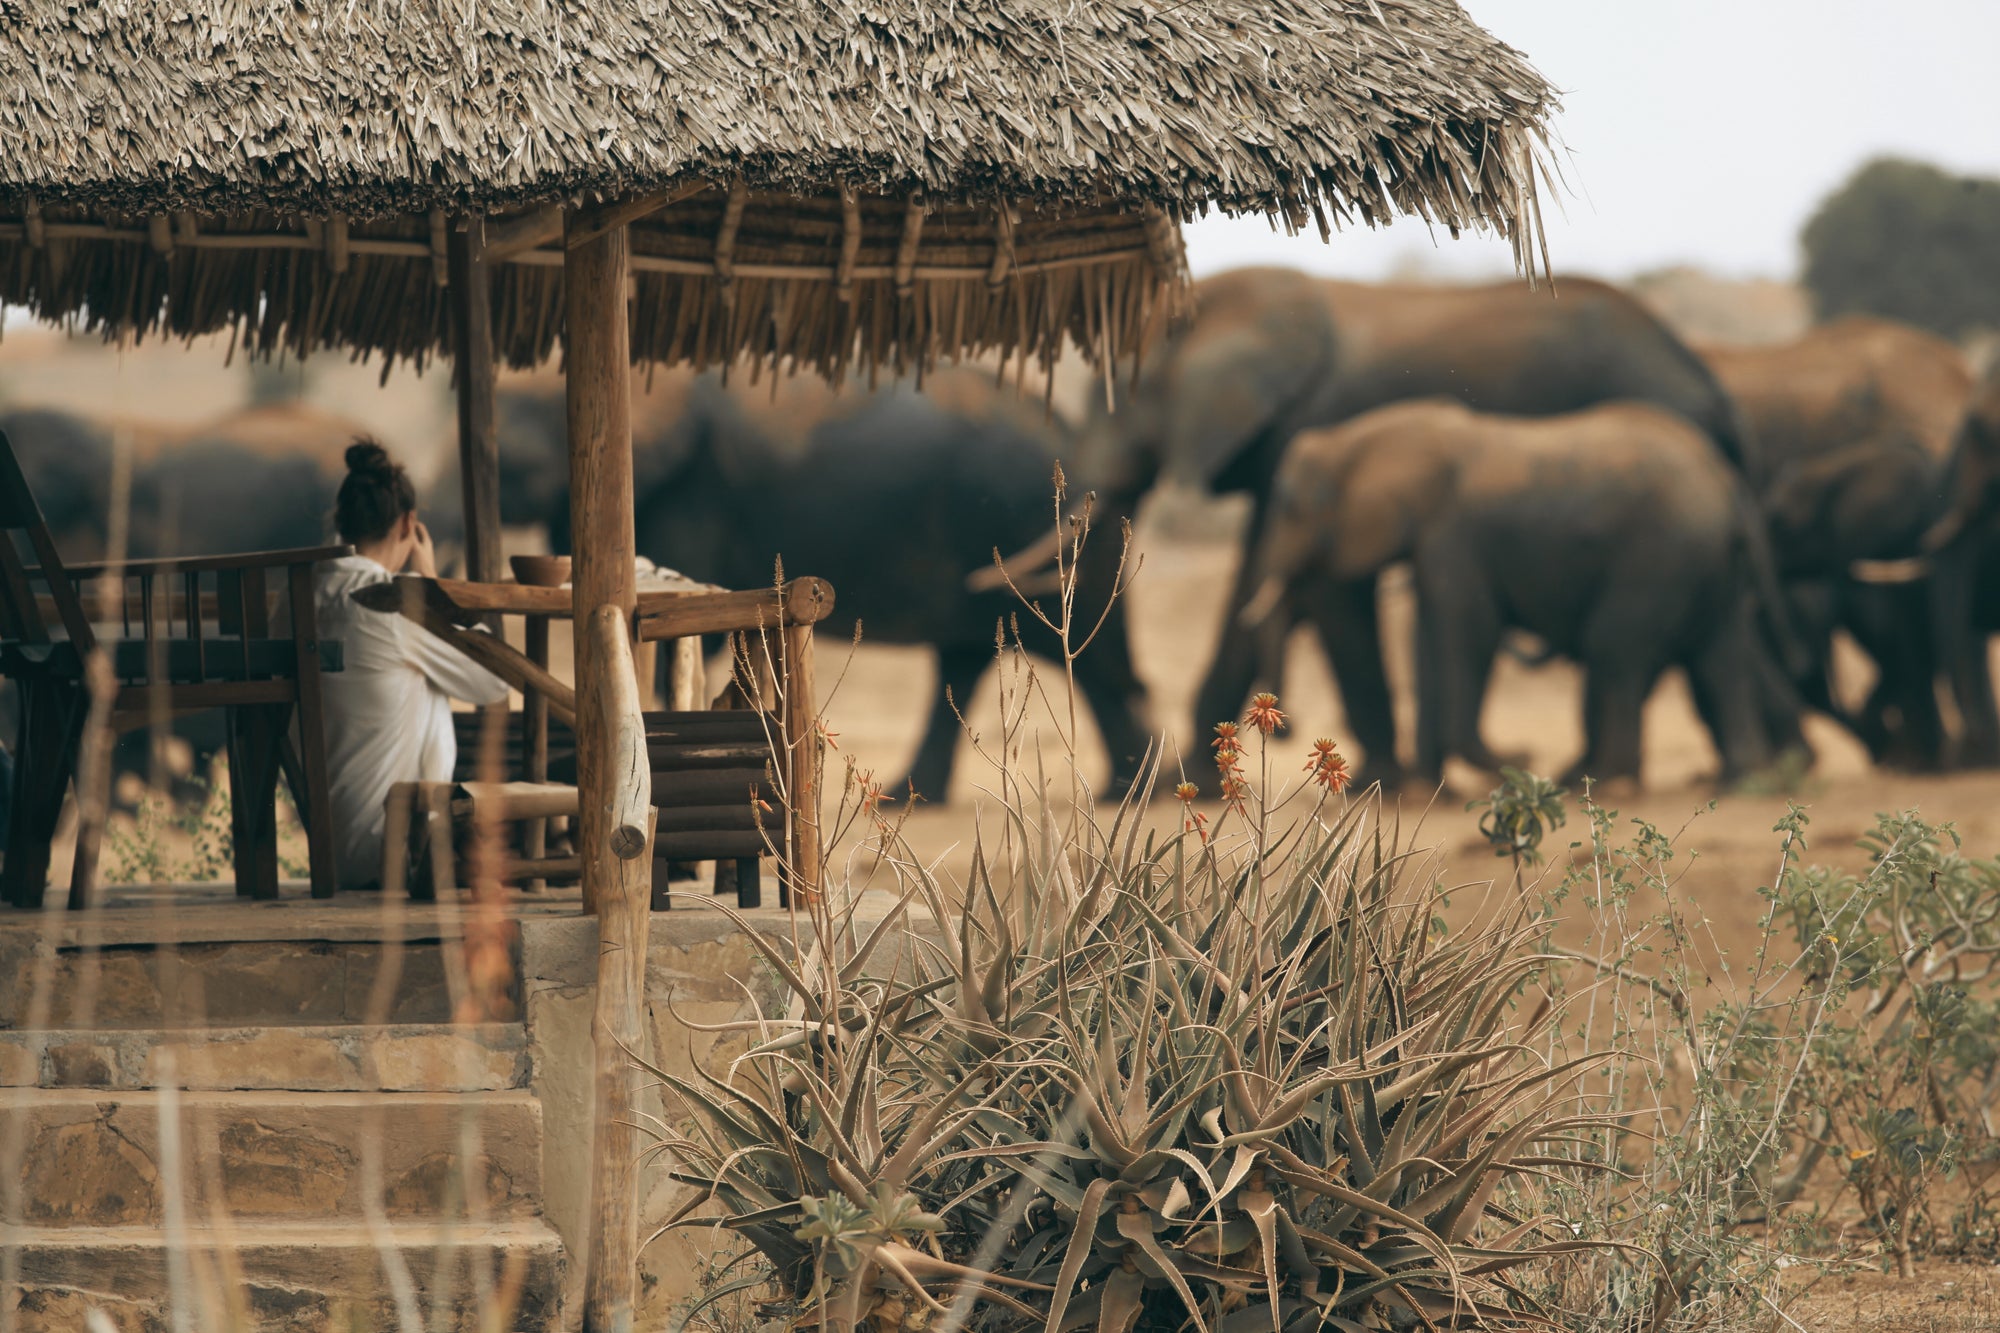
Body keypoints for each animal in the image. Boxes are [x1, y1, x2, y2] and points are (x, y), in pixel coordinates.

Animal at [476, 367, 1152, 802]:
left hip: (1018, 520)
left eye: (518, 465)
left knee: (1078, 652)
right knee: (974, 661)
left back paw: (1132, 786)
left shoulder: (688, 498)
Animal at [1245, 400, 1782, 787]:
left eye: (1289, 505)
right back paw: (1736, 778)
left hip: (1660, 556)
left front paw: (1509, 764)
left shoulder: (1455, 536)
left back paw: (1608, 781)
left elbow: (1470, 632)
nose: (1291, 724)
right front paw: (1429, 789)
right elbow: (1433, 639)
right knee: (1721, 653)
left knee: (1614, 648)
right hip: (1708, 564)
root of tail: (1731, 489)